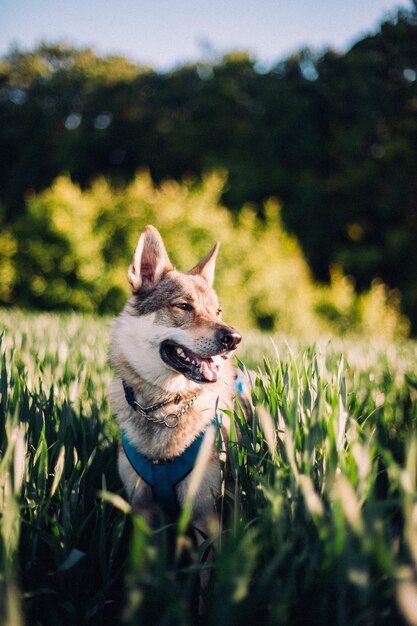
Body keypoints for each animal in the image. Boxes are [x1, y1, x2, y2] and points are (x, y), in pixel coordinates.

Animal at [109, 224, 247, 536]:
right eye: (183, 306)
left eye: (218, 311)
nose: (234, 338)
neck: (165, 407)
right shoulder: (143, 512)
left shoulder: (204, 514)